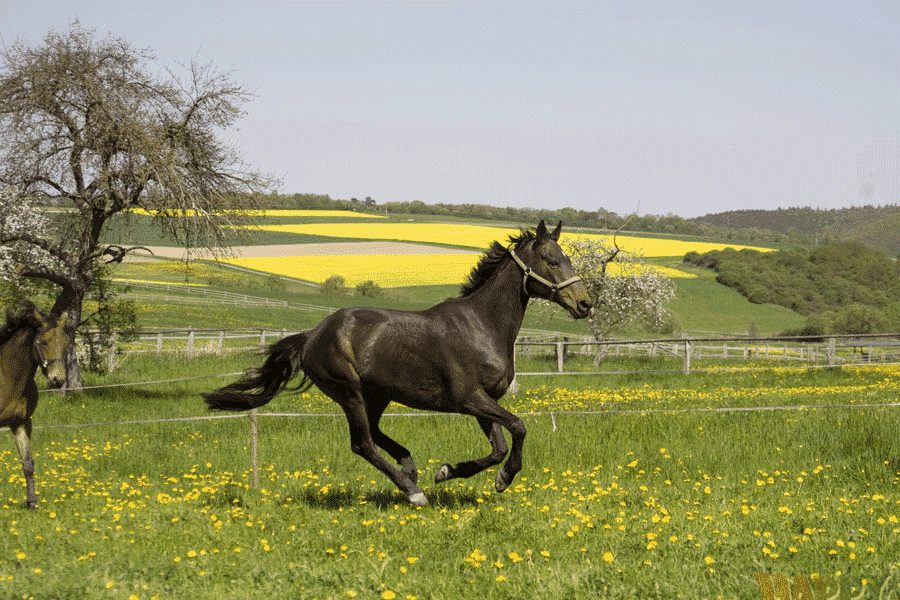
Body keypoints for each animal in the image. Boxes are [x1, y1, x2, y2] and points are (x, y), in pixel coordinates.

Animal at [0, 300, 68, 510]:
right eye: (44, 341)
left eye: (66, 343)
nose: (58, 379)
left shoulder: (21, 422)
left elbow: (28, 463)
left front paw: (32, 503)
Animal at [207, 221, 596, 506]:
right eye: (552, 260)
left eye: (568, 258)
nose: (585, 304)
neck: (482, 325)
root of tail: (311, 336)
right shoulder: (469, 398)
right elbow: (518, 427)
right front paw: (499, 478)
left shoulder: (486, 401)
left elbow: (498, 447)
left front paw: (450, 471)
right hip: (349, 392)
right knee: (363, 443)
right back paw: (413, 491)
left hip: (377, 395)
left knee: (375, 434)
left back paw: (410, 467)